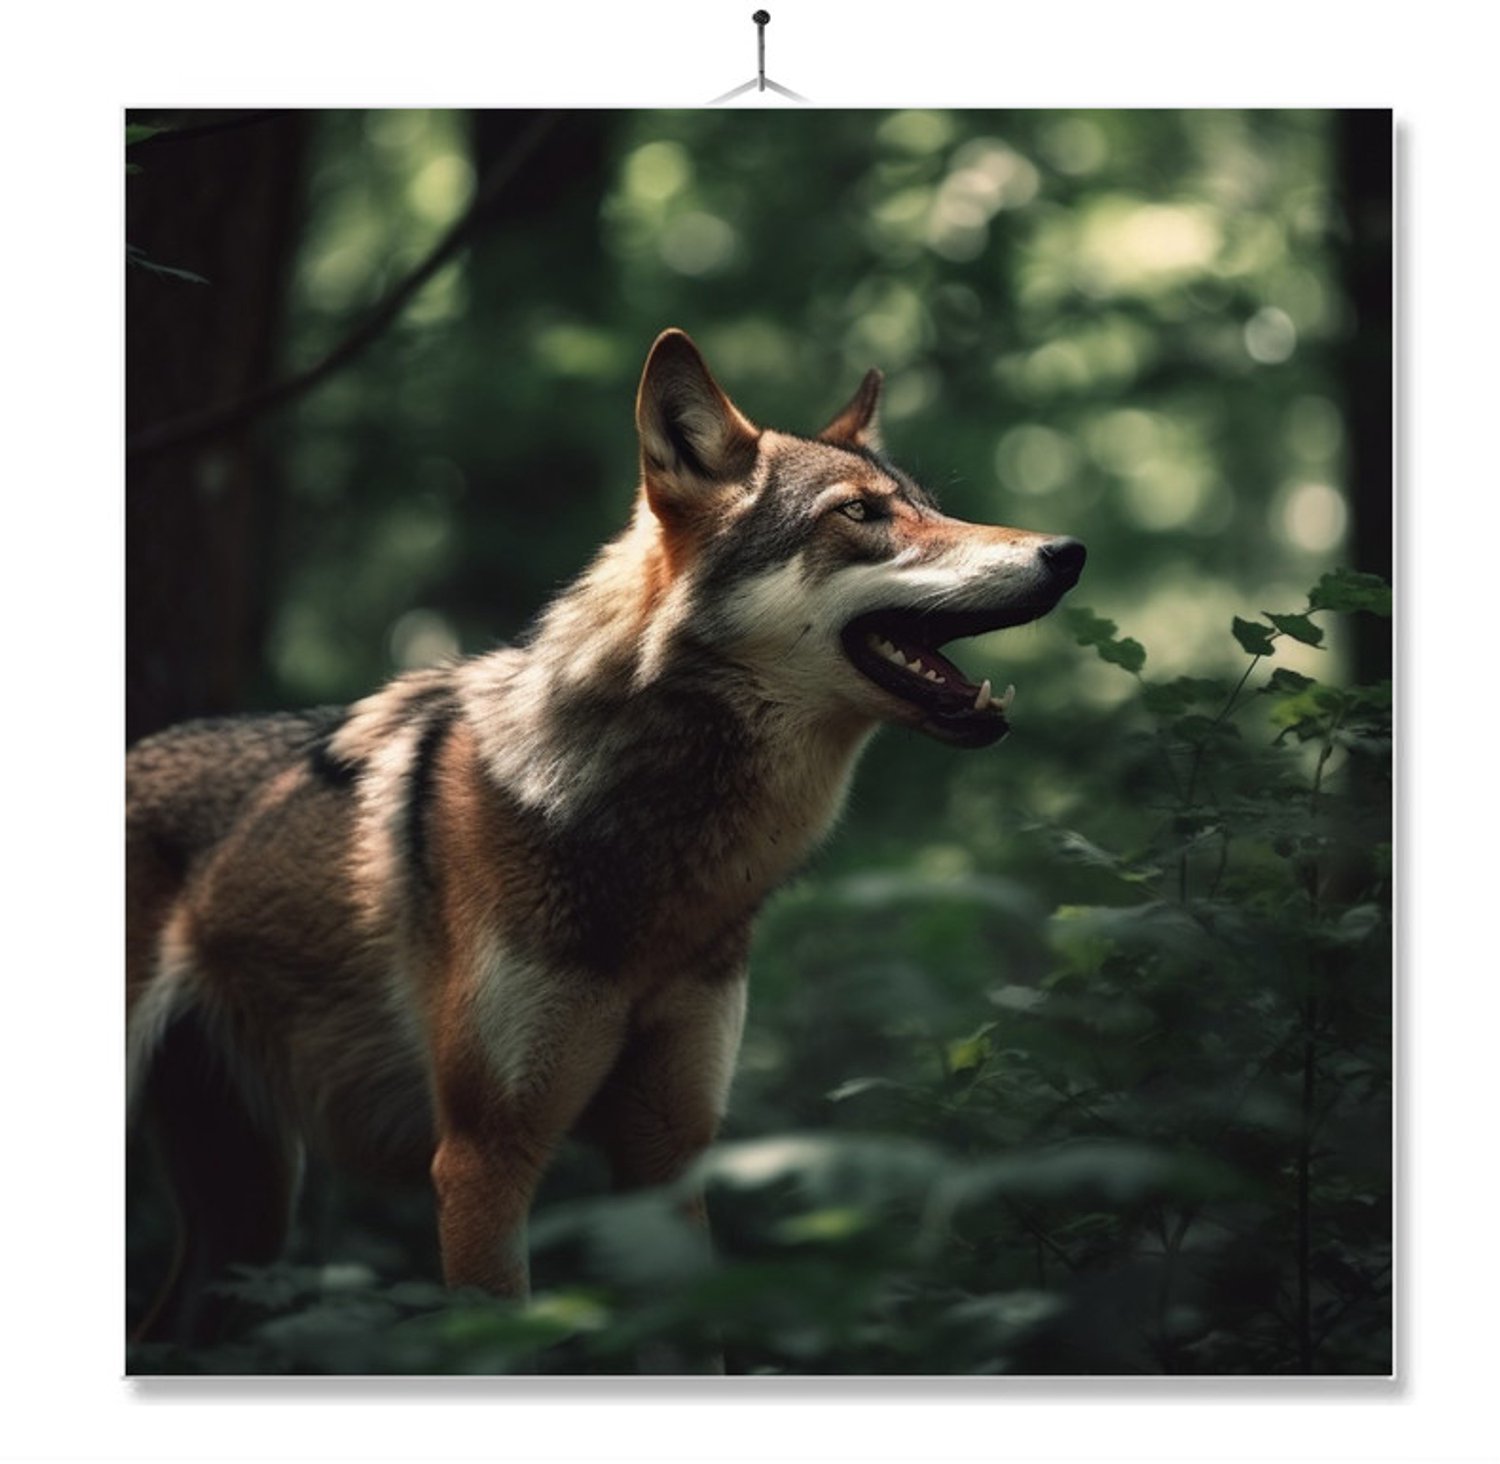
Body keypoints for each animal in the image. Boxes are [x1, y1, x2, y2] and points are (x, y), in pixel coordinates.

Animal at [126, 329, 1085, 1345]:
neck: (659, 858)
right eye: (861, 513)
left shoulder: (669, 1152)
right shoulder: (483, 1159)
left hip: (247, 1220)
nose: (1068, 553)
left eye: (933, 507)